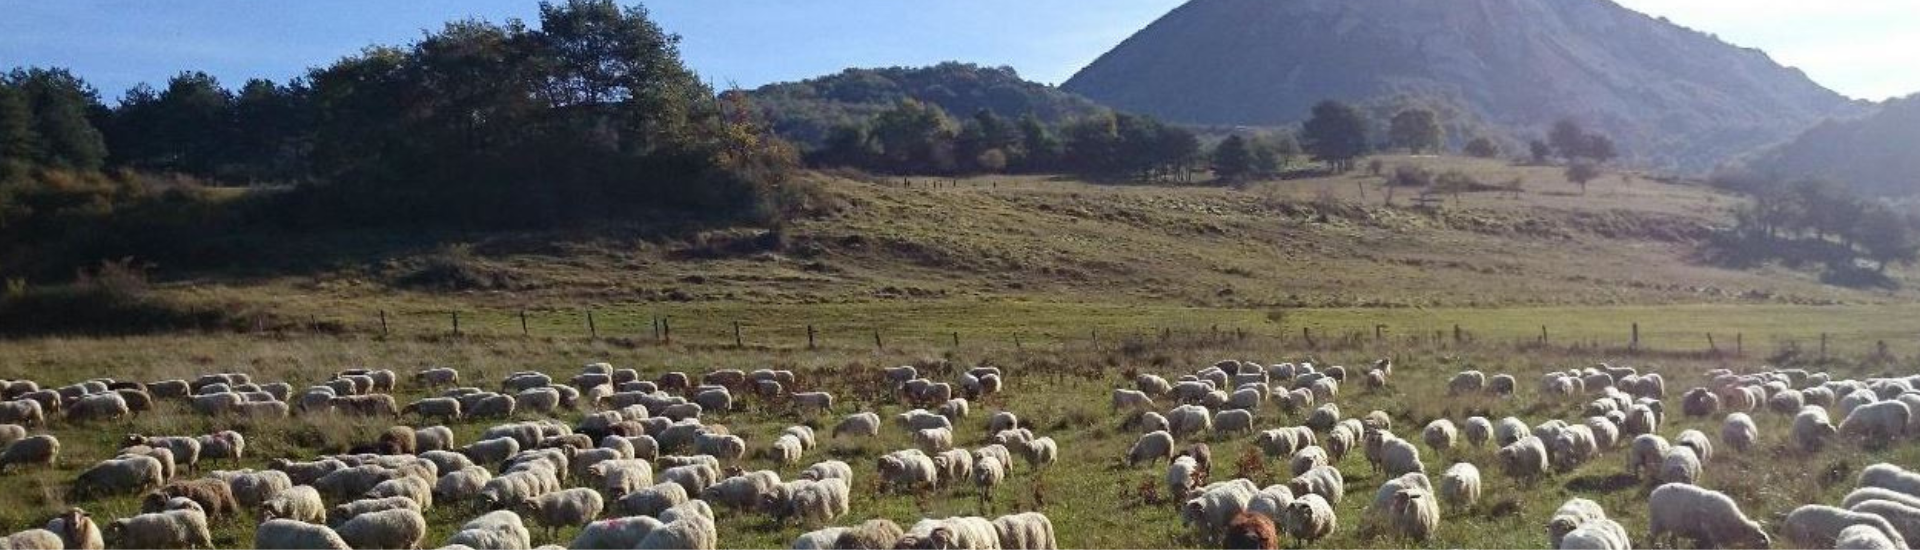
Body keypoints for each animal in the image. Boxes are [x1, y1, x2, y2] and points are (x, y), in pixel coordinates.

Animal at [1643, 482, 1774, 546]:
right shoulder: (1711, 536)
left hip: (1673, 524)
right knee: (1650, 538)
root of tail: (1655, 491)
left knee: (1672, 540)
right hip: (1657, 522)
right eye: (1763, 546)